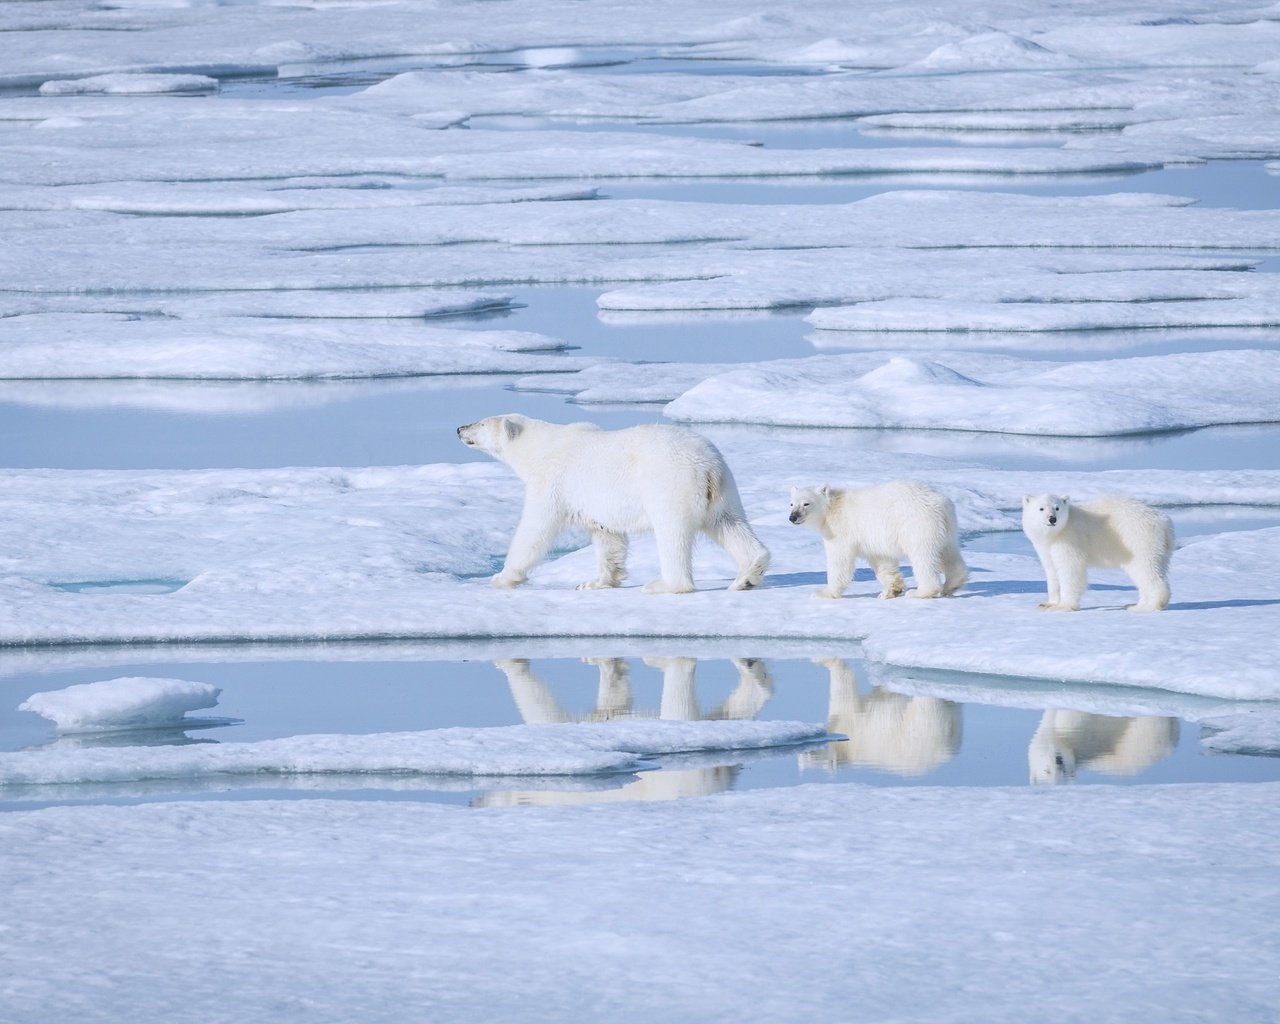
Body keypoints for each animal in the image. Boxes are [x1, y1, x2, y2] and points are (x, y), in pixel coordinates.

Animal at [455, 414, 762, 596]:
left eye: (481, 423)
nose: (459, 428)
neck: (538, 447)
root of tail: (708, 465)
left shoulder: (552, 482)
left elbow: (535, 529)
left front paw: (502, 577)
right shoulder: (597, 506)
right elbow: (608, 537)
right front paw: (595, 582)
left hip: (671, 484)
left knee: (672, 534)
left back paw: (663, 584)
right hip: (724, 490)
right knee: (730, 524)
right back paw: (746, 577)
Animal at [783, 481, 962, 599]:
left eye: (806, 503)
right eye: (791, 504)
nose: (793, 517)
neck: (831, 508)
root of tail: (940, 504)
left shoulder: (840, 531)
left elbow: (839, 561)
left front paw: (823, 592)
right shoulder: (872, 540)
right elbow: (882, 561)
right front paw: (891, 590)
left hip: (917, 525)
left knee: (923, 557)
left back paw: (921, 592)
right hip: (946, 528)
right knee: (949, 553)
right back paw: (952, 584)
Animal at [1018, 494, 1172, 611]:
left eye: (1057, 507)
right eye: (1041, 508)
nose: (1052, 519)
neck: (1056, 533)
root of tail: (1164, 522)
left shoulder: (1070, 539)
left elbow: (1070, 569)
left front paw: (1063, 606)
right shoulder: (1045, 547)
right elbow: (1052, 571)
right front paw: (1048, 603)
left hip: (1138, 538)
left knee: (1146, 569)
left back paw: (1150, 606)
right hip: (1158, 547)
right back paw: (1135, 604)